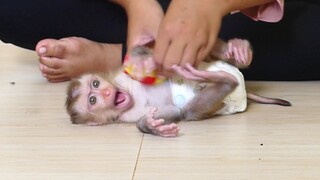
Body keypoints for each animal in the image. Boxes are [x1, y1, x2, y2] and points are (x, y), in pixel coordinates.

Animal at [65, 39, 290, 137]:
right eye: (92, 100)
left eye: (96, 83)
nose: (106, 92)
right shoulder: (124, 116)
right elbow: (173, 112)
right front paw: (150, 126)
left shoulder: (120, 75)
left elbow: (138, 53)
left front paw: (143, 57)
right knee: (190, 110)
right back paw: (221, 79)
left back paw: (237, 52)